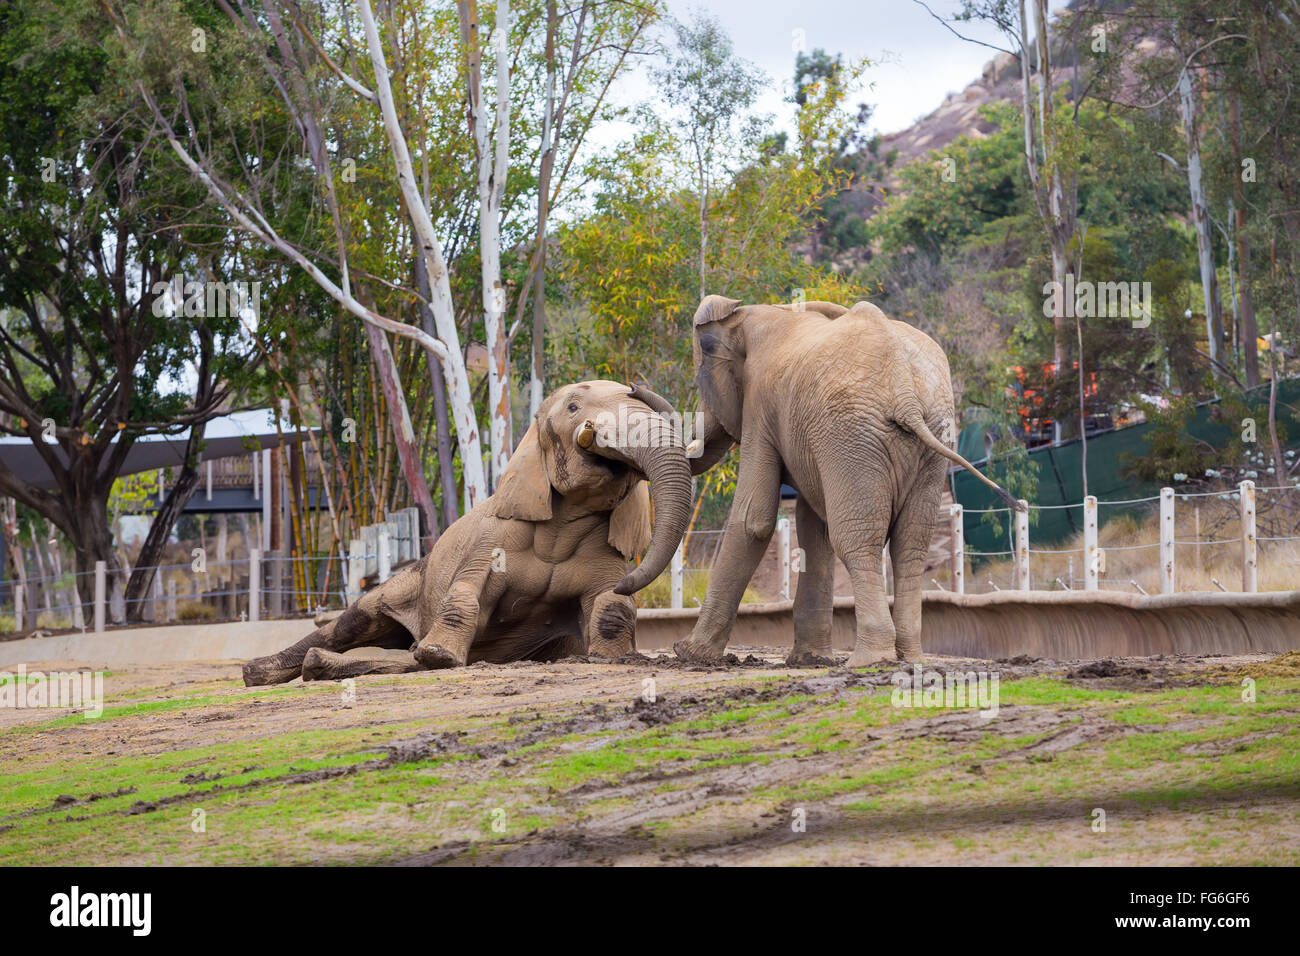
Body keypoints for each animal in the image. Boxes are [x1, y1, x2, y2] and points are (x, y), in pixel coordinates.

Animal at [240, 377, 696, 686]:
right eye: (572, 407)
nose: (637, 386)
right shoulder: (491, 541)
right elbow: (465, 593)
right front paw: (440, 655)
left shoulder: (605, 552)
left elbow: (611, 604)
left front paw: (609, 654)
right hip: (410, 578)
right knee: (353, 621)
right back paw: (259, 672)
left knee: (392, 652)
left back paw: (334, 663)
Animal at [676, 297, 1019, 665]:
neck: (748, 312)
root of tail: (904, 390)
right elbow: (815, 527)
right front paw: (809, 660)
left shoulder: (759, 408)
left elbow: (754, 520)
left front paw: (688, 653)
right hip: (926, 435)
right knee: (910, 544)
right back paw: (909, 657)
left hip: (851, 434)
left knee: (857, 539)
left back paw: (870, 659)